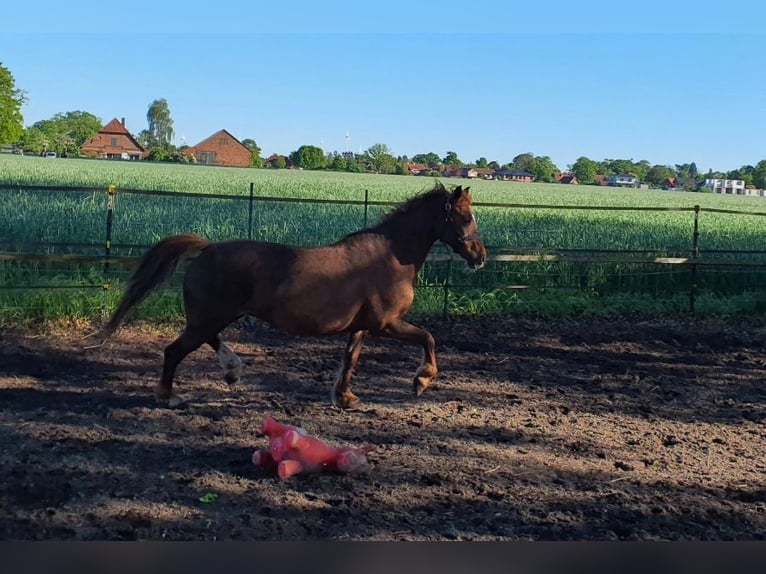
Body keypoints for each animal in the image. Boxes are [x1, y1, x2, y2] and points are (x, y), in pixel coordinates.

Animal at [99, 182, 487, 409]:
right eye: (466, 218)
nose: (480, 257)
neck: (390, 256)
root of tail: (208, 248)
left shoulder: (362, 326)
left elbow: (350, 359)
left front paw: (345, 397)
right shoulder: (388, 323)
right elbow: (429, 338)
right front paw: (421, 381)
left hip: (215, 315)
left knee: (206, 340)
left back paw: (232, 370)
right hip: (211, 316)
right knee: (175, 350)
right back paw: (169, 395)